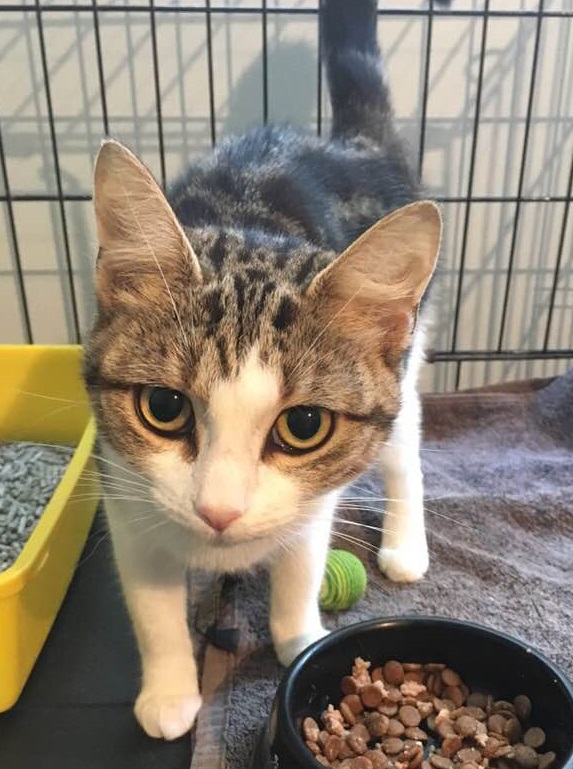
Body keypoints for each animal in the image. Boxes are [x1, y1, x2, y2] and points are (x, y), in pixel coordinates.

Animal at [83, 0, 441, 742]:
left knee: (404, 445)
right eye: (164, 407)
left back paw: (404, 541)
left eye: (303, 424)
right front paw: (169, 689)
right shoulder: (123, 487)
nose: (218, 511)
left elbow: (300, 560)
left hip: (408, 349)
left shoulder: (313, 495)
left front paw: (297, 635)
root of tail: (349, 145)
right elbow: (150, 598)